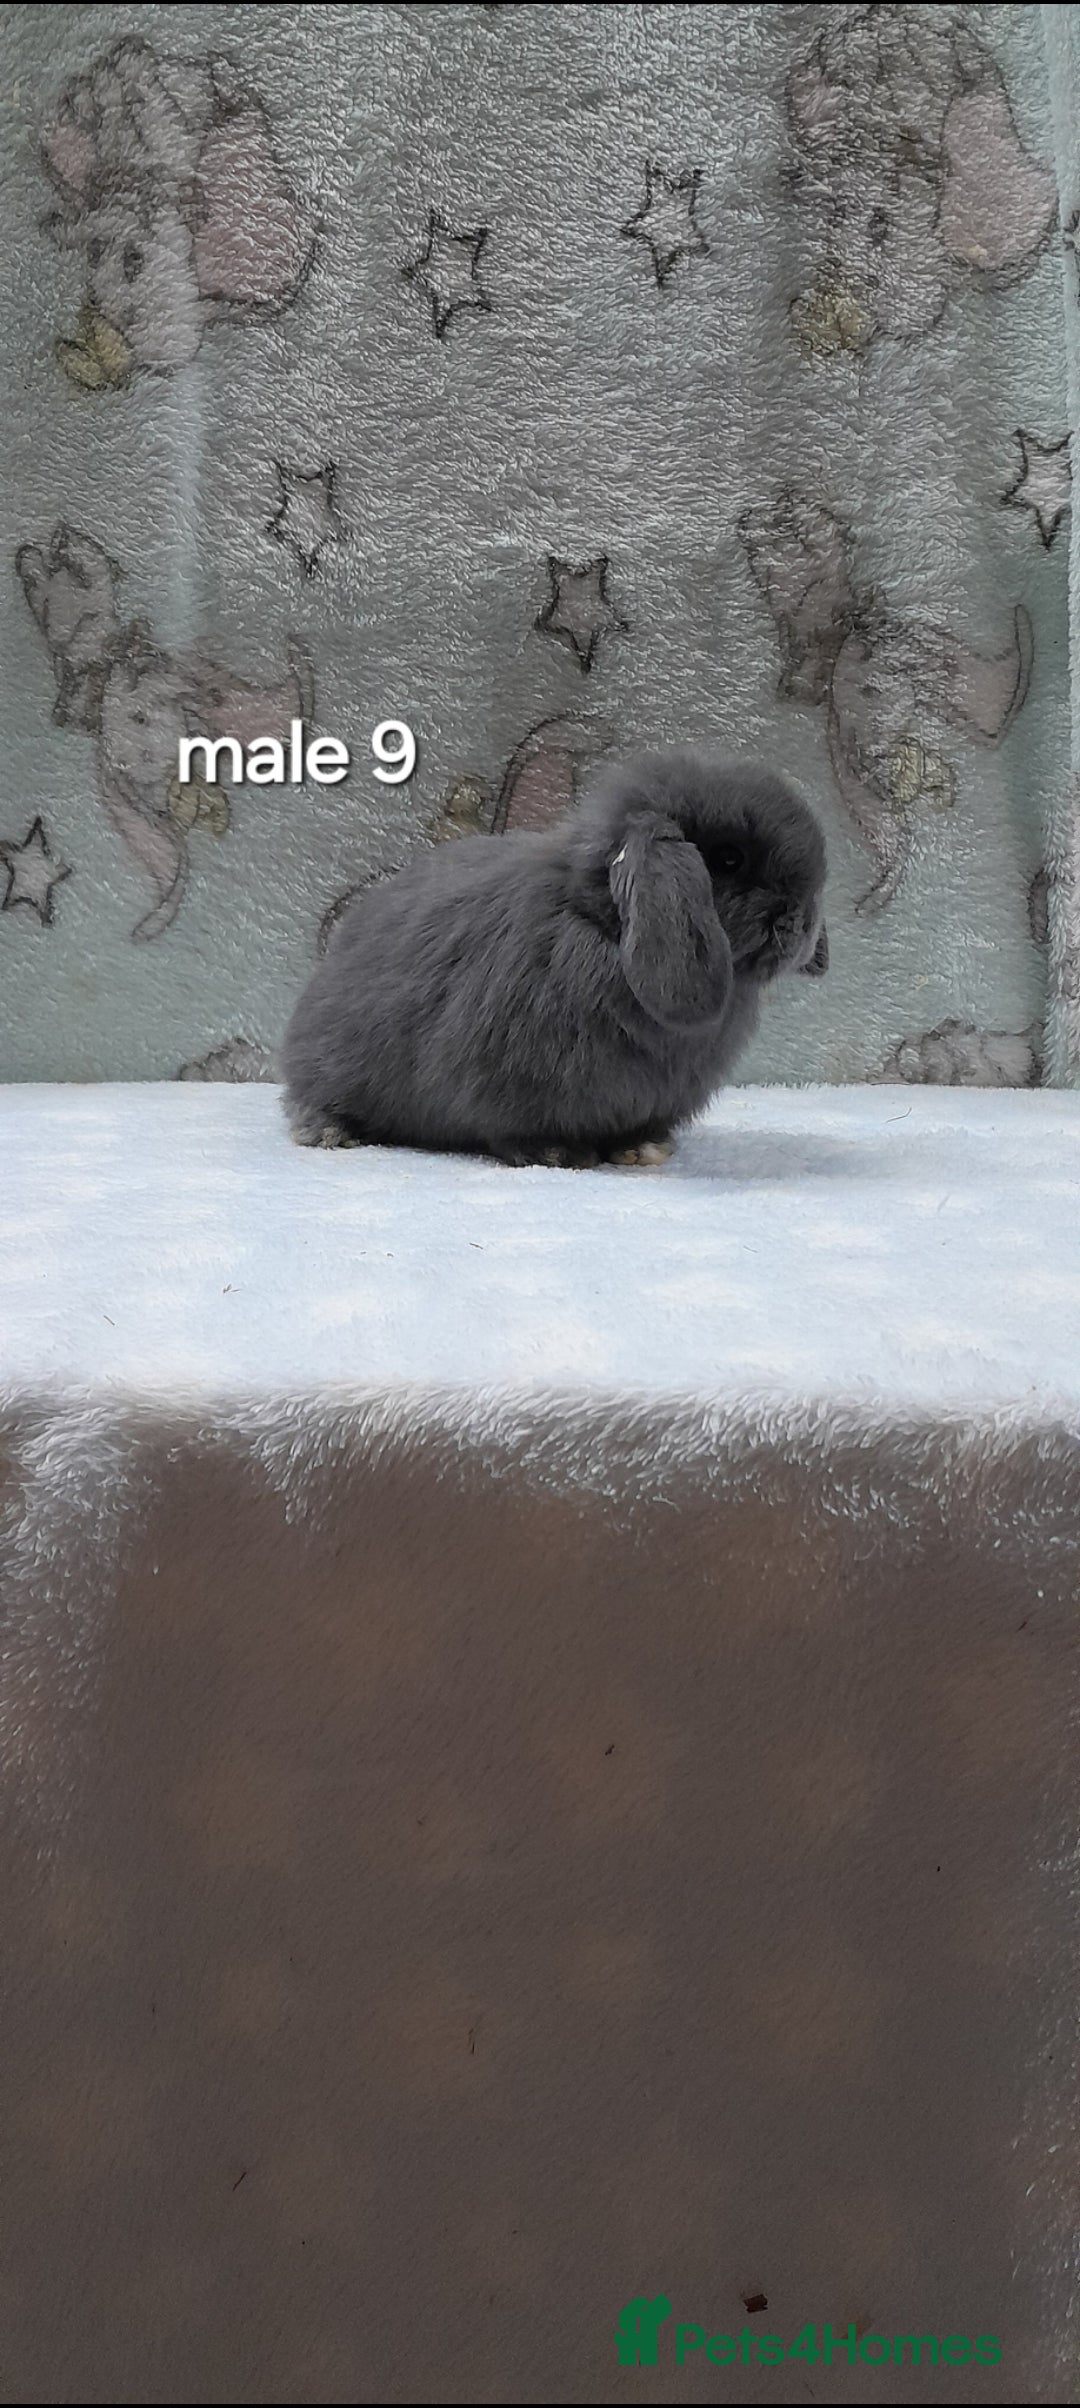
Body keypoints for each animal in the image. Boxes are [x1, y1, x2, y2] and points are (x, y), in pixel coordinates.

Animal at [281, 748, 828, 1167]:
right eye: (729, 859)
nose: (801, 924)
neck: (600, 924)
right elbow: (517, 1131)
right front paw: (562, 1154)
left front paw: (643, 1150)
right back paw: (331, 1134)